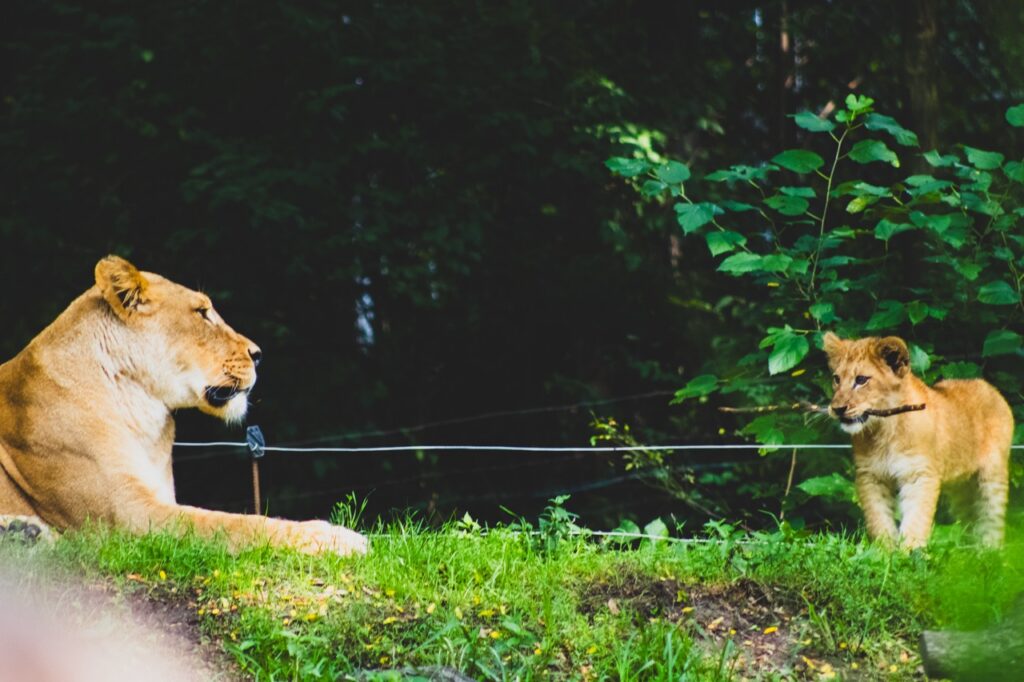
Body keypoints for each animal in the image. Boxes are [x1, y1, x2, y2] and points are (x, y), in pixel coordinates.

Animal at [0, 255, 367, 555]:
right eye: (203, 313)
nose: (258, 354)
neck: (144, 414)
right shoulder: (127, 516)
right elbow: (231, 523)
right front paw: (339, 538)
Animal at [823, 332, 1014, 548]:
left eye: (861, 380)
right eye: (836, 379)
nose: (837, 409)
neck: (884, 430)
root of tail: (989, 387)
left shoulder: (919, 474)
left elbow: (916, 519)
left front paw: (909, 552)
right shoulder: (871, 476)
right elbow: (878, 518)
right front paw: (884, 550)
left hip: (992, 475)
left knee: (991, 517)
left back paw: (990, 551)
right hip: (961, 485)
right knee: (969, 516)